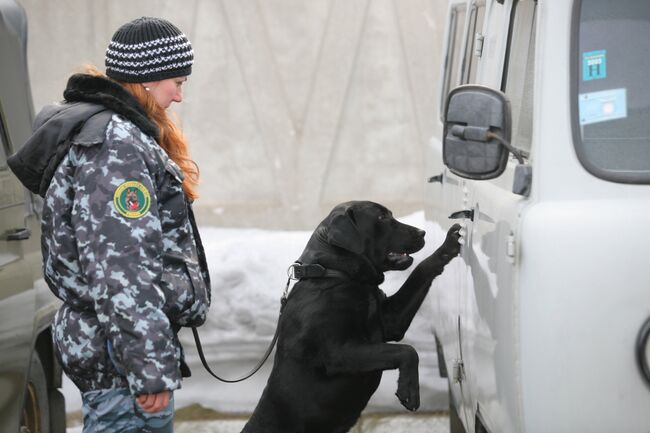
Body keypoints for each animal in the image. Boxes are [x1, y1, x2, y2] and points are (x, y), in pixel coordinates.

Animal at [240, 201, 458, 430]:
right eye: (381, 217)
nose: (421, 232)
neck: (337, 275)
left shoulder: (391, 321)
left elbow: (420, 272)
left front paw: (448, 246)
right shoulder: (338, 352)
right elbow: (407, 350)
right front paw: (409, 389)